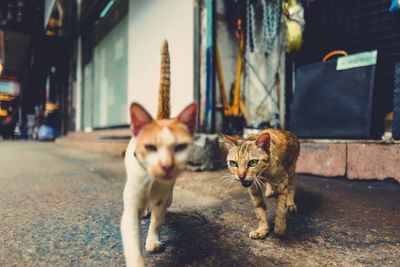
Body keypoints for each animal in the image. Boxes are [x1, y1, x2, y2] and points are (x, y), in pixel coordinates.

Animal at [121, 40, 198, 267]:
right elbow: (132, 240)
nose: (166, 165)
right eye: (150, 147)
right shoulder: (131, 206)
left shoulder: (162, 199)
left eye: (179, 147)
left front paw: (153, 240)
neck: (152, 182)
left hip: (170, 195)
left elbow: (157, 221)